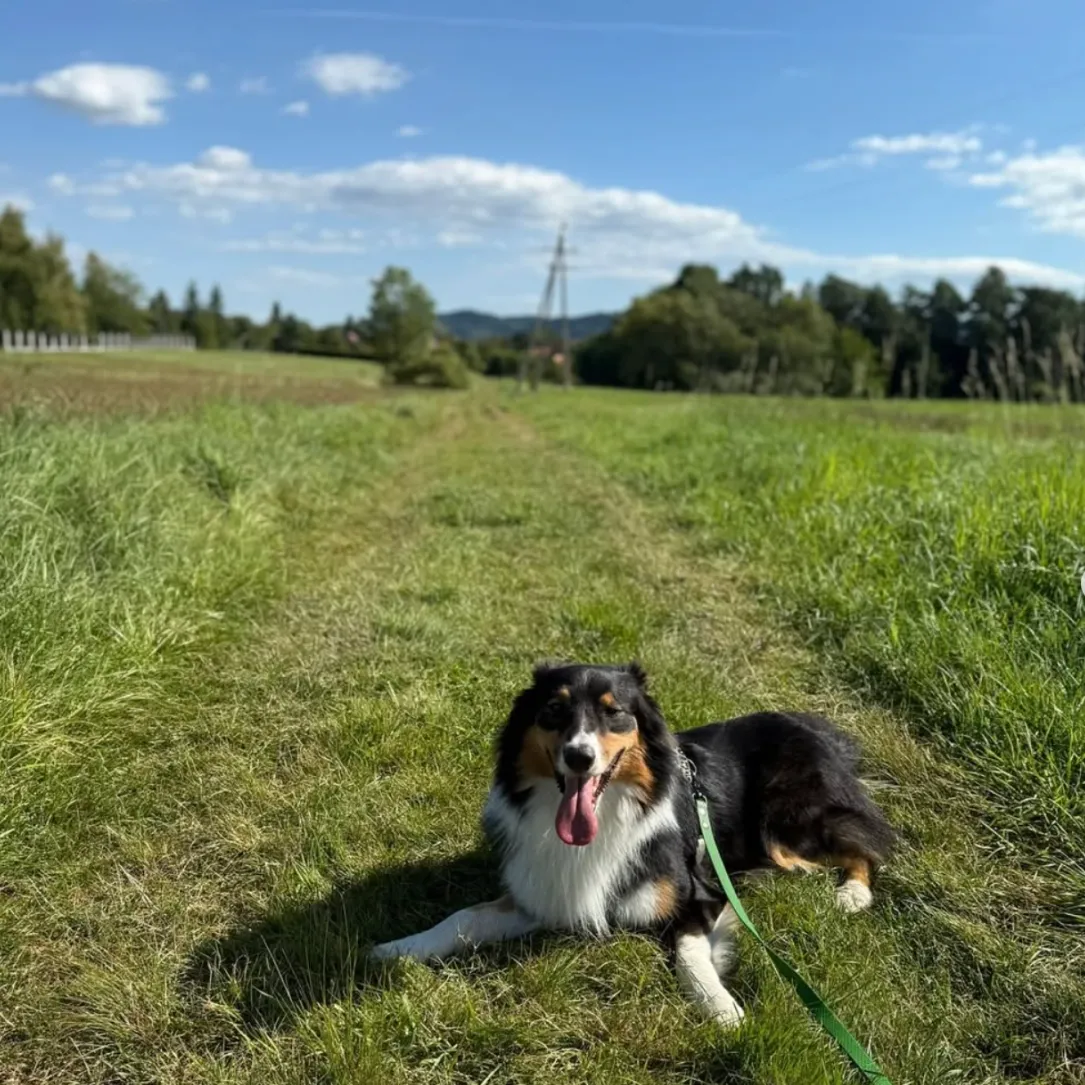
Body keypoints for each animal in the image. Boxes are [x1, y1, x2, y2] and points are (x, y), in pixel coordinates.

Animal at [371, 662, 894, 1025]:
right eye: (554, 710)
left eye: (614, 712)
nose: (579, 757)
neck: (605, 818)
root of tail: (818, 730)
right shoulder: (544, 891)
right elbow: (464, 917)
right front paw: (398, 948)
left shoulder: (700, 893)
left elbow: (687, 951)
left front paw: (720, 1006)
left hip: (785, 823)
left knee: (867, 842)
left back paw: (852, 893)